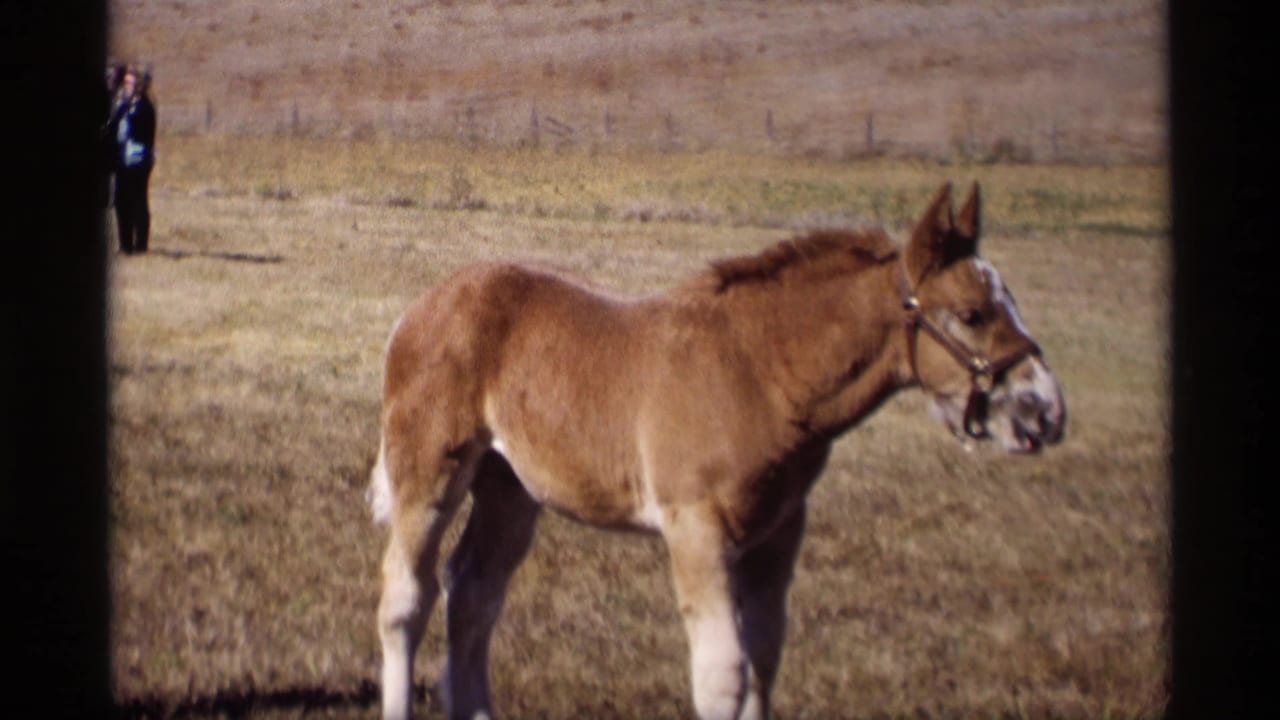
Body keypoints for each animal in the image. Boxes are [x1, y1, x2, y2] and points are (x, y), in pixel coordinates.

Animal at [367, 182, 1065, 720]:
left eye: (1008, 302)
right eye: (972, 314)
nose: (1047, 413)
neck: (759, 372)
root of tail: (419, 310)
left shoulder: (776, 535)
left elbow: (762, 664)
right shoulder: (696, 531)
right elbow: (722, 678)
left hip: (511, 489)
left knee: (472, 594)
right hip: (431, 471)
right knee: (407, 598)